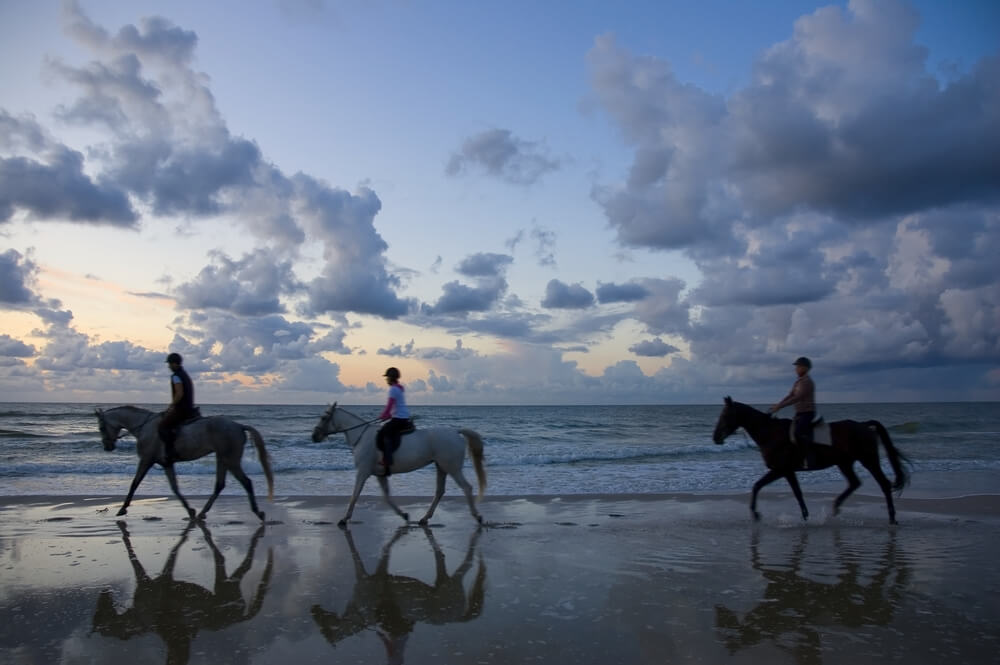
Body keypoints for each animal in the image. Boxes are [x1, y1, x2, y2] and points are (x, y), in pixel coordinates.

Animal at [94, 404, 274, 520]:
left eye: (101, 428)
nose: (107, 447)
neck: (145, 427)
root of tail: (238, 426)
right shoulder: (167, 464)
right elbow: (175, 488)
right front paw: (190, 511)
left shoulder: (146, 460)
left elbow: (134, 483)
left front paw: (122, 509)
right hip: (222, 459)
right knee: (219, 485)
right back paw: (202, 513)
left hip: (231, 460)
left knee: (246, 482)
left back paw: (258, 512)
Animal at [310, 402, 486, 528]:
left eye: (324, 418)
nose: (314, 436)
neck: (361, 436)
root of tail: (456, 432)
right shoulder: (380, 475)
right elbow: (387, 497)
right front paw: (404, 515)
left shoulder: (363, 472)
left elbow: (355, 495)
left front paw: (344, 519)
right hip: (441, 466)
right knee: (439, 491)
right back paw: (424, 518)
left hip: (452, 467)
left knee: (466, 488)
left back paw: (478, 516)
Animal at [708, 396, 912, 520]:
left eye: (725, 415)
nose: (715, 437)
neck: (770, 434)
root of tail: (863, 425)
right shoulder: (787, 471)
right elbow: (797, 493)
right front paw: (805, 516)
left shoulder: (780, 469)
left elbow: (757, 486)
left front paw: (756, 514)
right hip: (845, 462)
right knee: (855, 483)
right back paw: (835, 508)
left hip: (868, 459)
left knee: (883, 484)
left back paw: (892, 517)